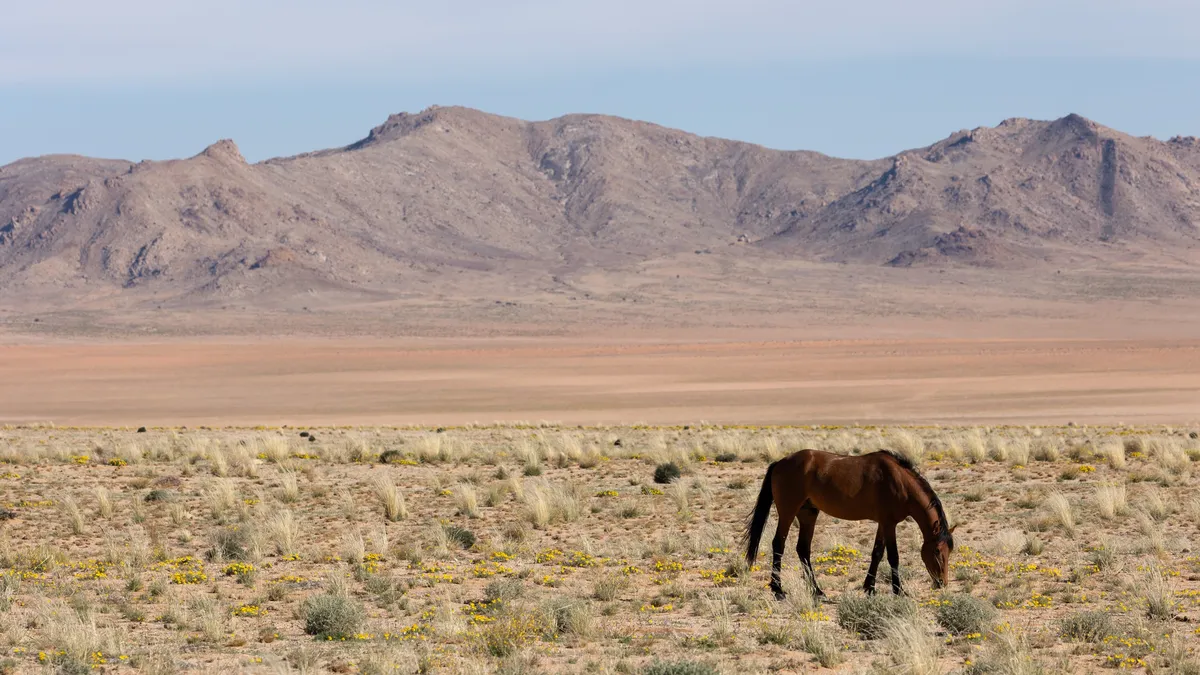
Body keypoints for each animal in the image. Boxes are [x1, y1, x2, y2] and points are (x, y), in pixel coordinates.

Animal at [742, 449, 955, 600]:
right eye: (937, 551)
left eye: (949, 551)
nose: (942, 582)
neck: (900, 482)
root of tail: (780, 462)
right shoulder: (889, 524)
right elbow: (893, 556)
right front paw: (898, 590)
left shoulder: (883, 523)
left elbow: (877, 553)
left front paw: (869, 588)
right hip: (788, 511)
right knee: (779, 544)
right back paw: (778, 590)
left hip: (808, 513)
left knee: (803, 549)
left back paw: (817, 591)